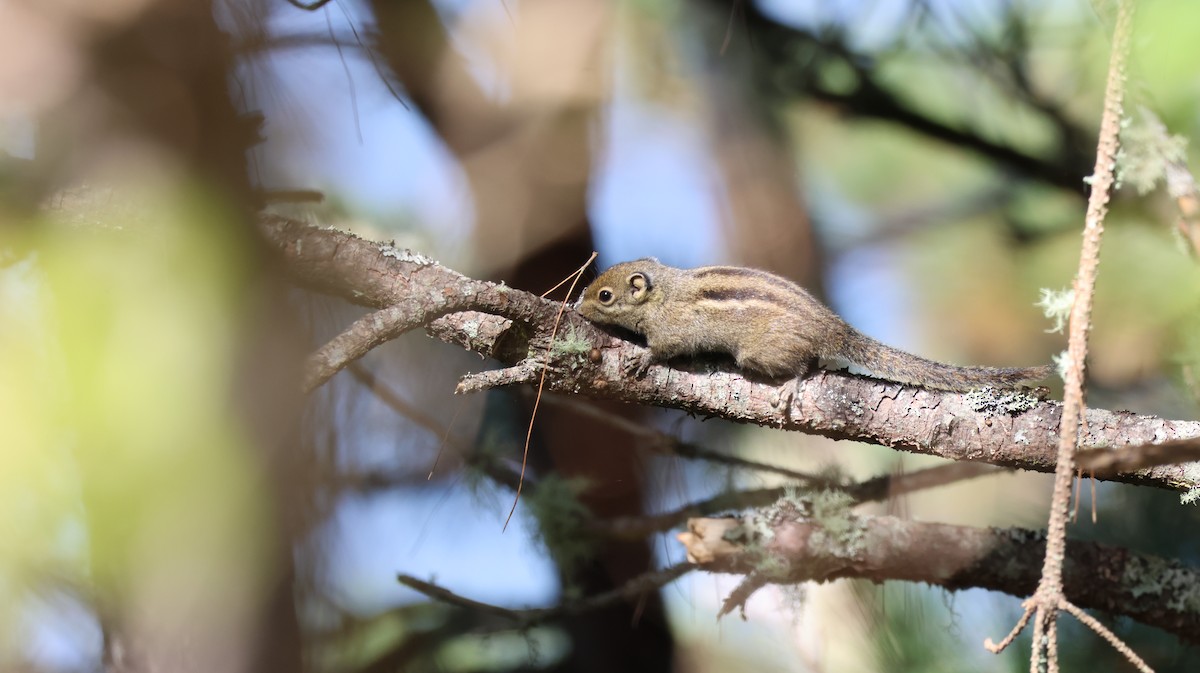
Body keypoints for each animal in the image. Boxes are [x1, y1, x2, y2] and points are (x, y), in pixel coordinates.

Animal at [576, 258, 1051, 397]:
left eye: (605, 296)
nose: (577, 308)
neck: (664, 294)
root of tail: (833, 326)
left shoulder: (673, 330)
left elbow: (662, 349)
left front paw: (643, 359)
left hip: (760, 352)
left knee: (805, 364)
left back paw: (790, 386)